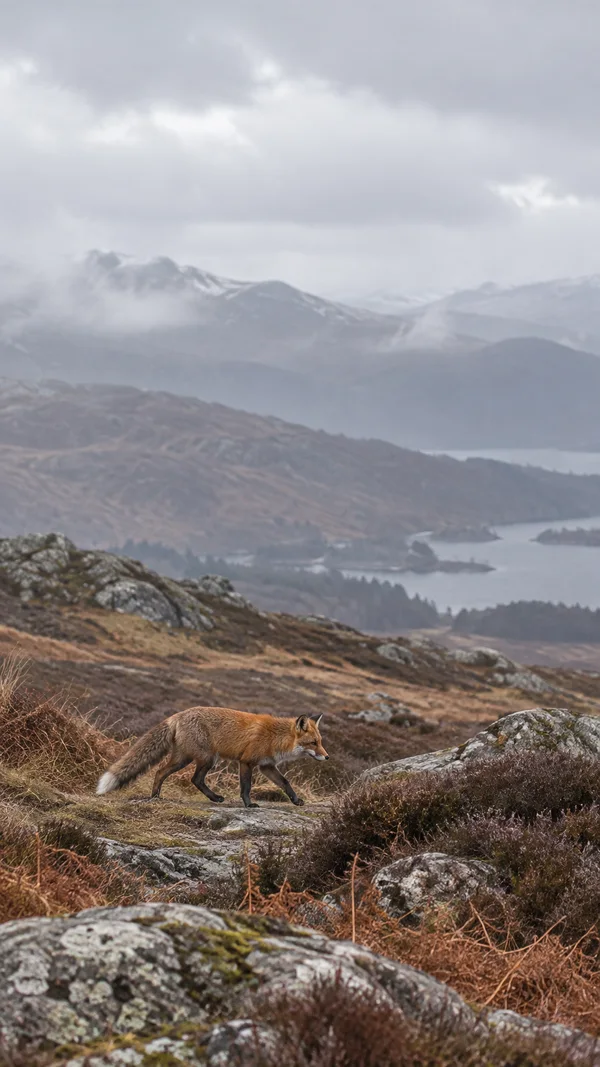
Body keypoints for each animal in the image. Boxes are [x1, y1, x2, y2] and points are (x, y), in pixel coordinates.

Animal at [96, 705, 328, 808]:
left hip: (190, 758)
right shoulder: (246, 761)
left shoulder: (267, 766)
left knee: (167, 773)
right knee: (188, 777)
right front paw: (248, 804)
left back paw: (158, 796)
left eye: (320, 741)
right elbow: (246, 787)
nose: (327, 757)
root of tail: (178, 715)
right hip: (204, 759)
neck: (275, 737)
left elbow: (286, 783)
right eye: (313, 743)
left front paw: (296, 800)